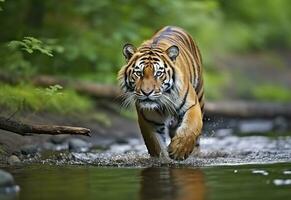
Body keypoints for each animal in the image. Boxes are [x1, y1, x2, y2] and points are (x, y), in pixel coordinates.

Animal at [117, 25, 204, 160]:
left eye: (158, 73)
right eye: (139, 73)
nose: (147, 92)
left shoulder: (192, 105)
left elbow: (190, 127)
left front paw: (179, 150)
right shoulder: (149, 120)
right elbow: (155, 144)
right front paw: (163, 159)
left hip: (200, 93)